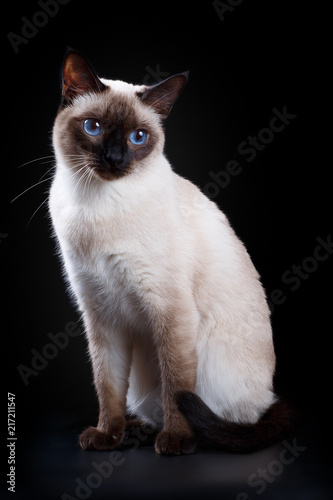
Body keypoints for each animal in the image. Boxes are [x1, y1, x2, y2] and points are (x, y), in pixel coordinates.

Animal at [48, 51, 294, 458]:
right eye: (93, 127)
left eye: (138, 137)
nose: (114, 159)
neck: (98, 206)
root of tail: (269, 397)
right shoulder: (101, 315)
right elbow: (107, 387)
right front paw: (106, 435)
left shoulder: (171, 310)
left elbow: (176, 385)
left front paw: (177, 441)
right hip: (138, 373)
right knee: (146, 405)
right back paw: (131, 431)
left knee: (220, 417)